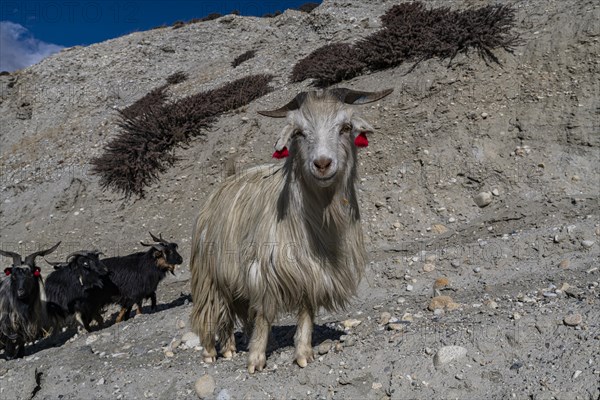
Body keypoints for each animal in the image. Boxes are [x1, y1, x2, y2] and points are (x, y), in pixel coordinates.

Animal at [190, 86, 392, 372]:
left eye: (345, 127)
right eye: (299, 133)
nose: (322, 163)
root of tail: (224, 181)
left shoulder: (312, 272)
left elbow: (306, 312)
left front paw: (303, 353)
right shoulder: (263, 271)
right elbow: (264, 316)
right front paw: (256, 359)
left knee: (231, 311)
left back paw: (229, 348)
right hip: (208, 274)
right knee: (212, 309)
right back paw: (211, 352)